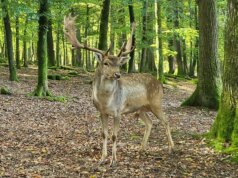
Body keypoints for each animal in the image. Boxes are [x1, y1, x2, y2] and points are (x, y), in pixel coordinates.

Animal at [64, 15, 174, 167]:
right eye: (106, 63)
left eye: (118, 64)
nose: (117, 74)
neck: (104, 101)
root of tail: (160, 84)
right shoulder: (101, 112)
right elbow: (104, 134)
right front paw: (102, 158)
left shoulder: (117, 112)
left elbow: (114, 135)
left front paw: (113, 161)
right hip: (141, 108)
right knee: (150, 123)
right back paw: (142, 148)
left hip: (156, 102)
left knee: (166, 121)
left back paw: (171, 148)